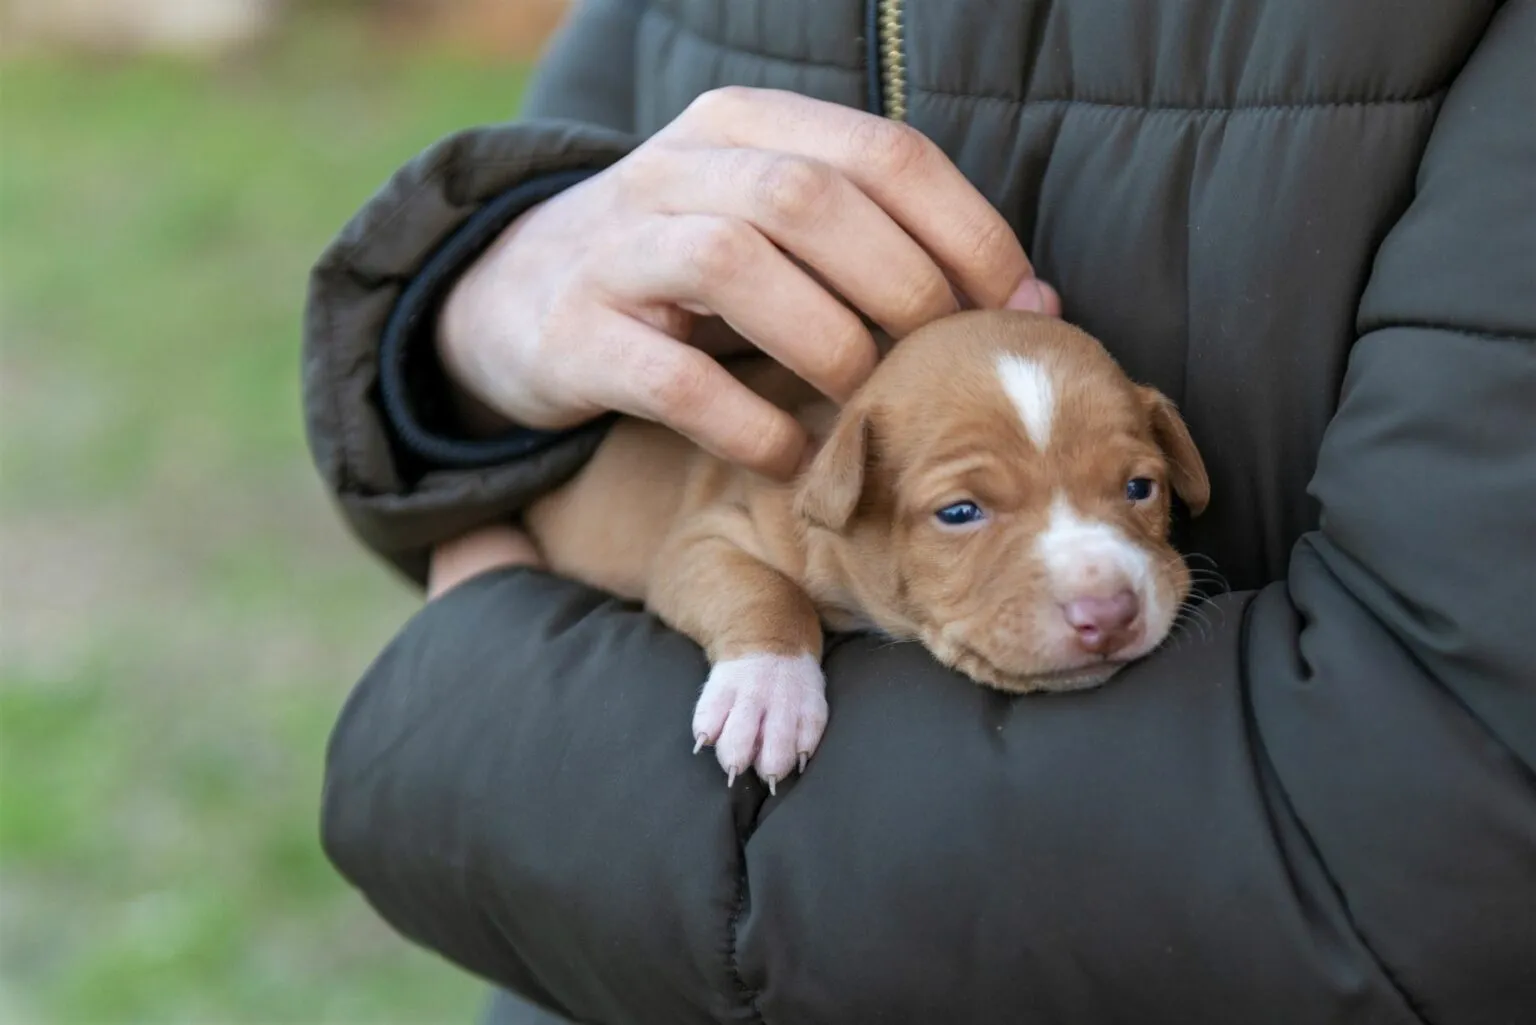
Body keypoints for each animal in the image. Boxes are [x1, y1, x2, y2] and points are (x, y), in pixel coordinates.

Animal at [522, 308, 1204, 792]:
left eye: (1140, 488)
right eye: (959, 513)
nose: (1109, 614)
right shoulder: (702, 538)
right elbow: (764, 588)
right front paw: (766, 691)